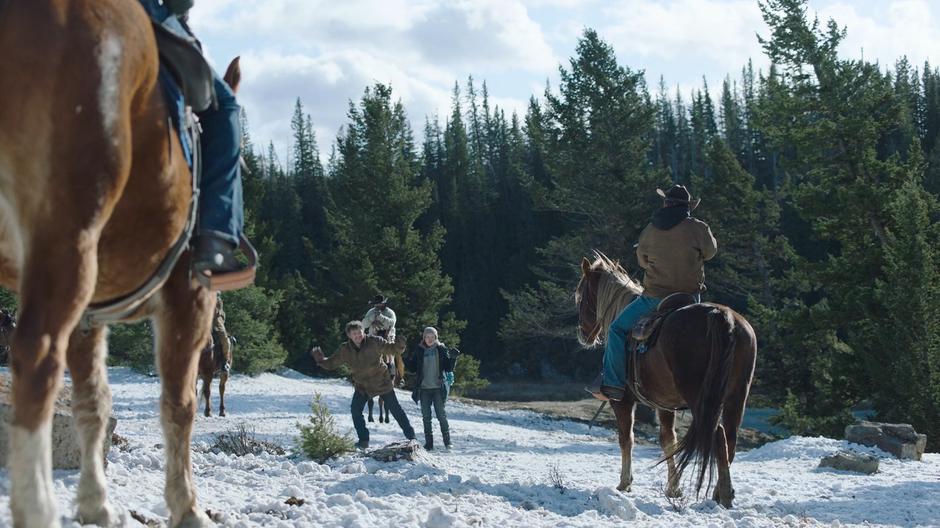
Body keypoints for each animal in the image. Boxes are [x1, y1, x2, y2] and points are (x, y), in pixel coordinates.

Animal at [0, 3, 246, 524]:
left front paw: (96, 503)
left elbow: (93, 402)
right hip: (68, 244)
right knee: (36, 360)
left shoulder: (90, 316)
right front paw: (187, 506)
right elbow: (179, 405)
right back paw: (37, 506)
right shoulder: (188, 299)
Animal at [572, 252, 756, 508]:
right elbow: (669, 440)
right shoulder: (665, 405)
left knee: (717, 435)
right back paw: (720, 493)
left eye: (580, 296)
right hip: (736, 397)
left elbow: (626, 438)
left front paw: (624, 483)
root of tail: (723, 317)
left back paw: (726, 495)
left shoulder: (623, 402)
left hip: (702, 399)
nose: (583, 334)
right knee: (730, 438)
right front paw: (673, 488)